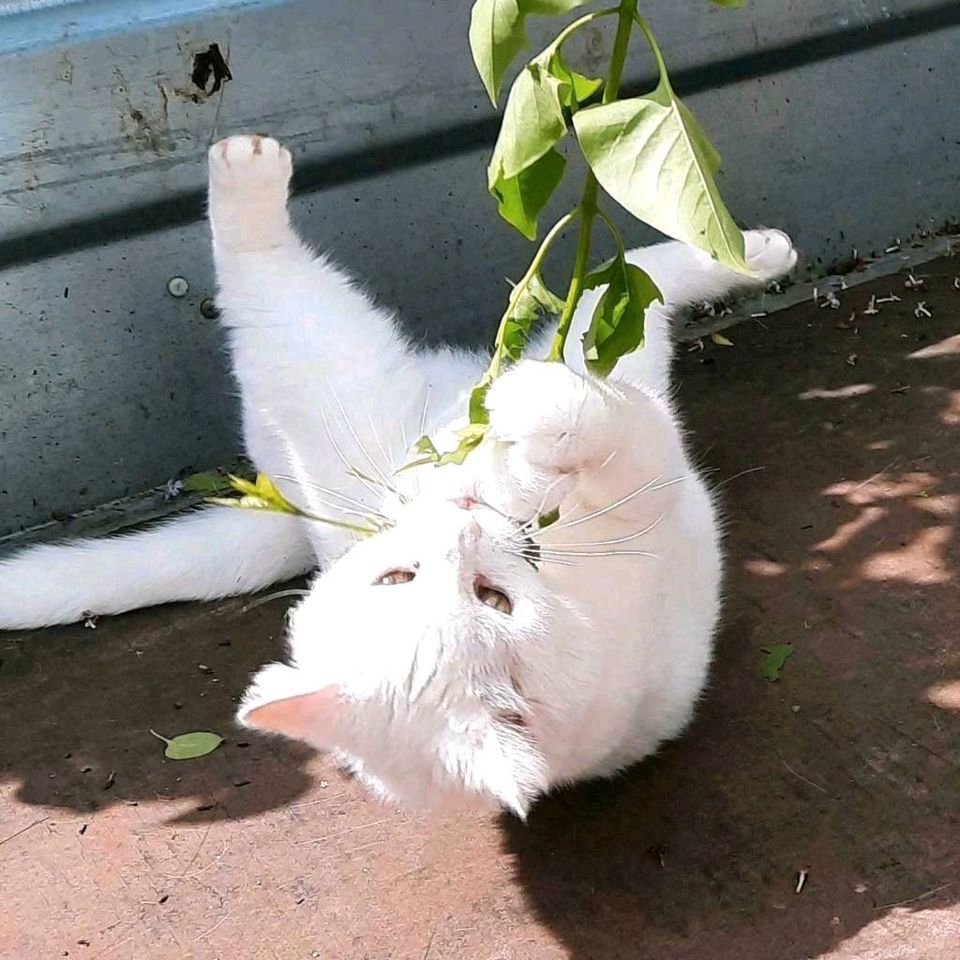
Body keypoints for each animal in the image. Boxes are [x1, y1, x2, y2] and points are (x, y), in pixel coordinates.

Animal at [0, 135, 796, 812]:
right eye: (492, 598)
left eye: (396, 577)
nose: (463, 514)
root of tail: (294, 511)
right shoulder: (639, 477)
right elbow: (596, 422)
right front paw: (529, 432)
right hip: (331, 365)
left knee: (625, 292)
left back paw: (756, 253)